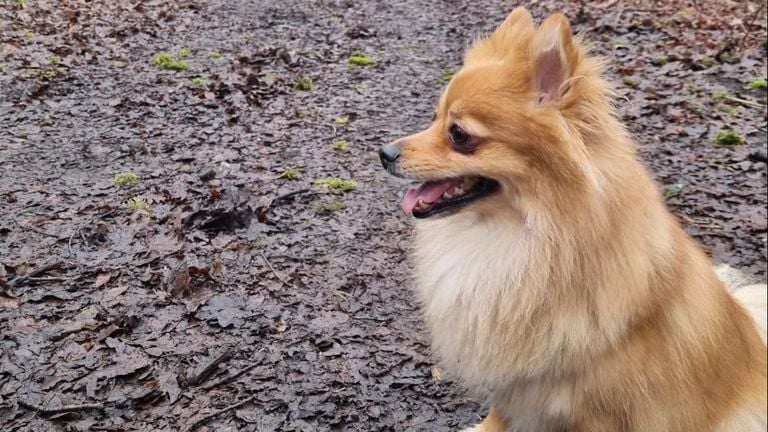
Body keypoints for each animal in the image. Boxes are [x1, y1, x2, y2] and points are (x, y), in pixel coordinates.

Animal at [380, 6, 768, 432]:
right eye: (434, 118)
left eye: (459, 134)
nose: (385, 153)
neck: (522, 235)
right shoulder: (511, 377)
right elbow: (498, 414)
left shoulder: (595, 409)